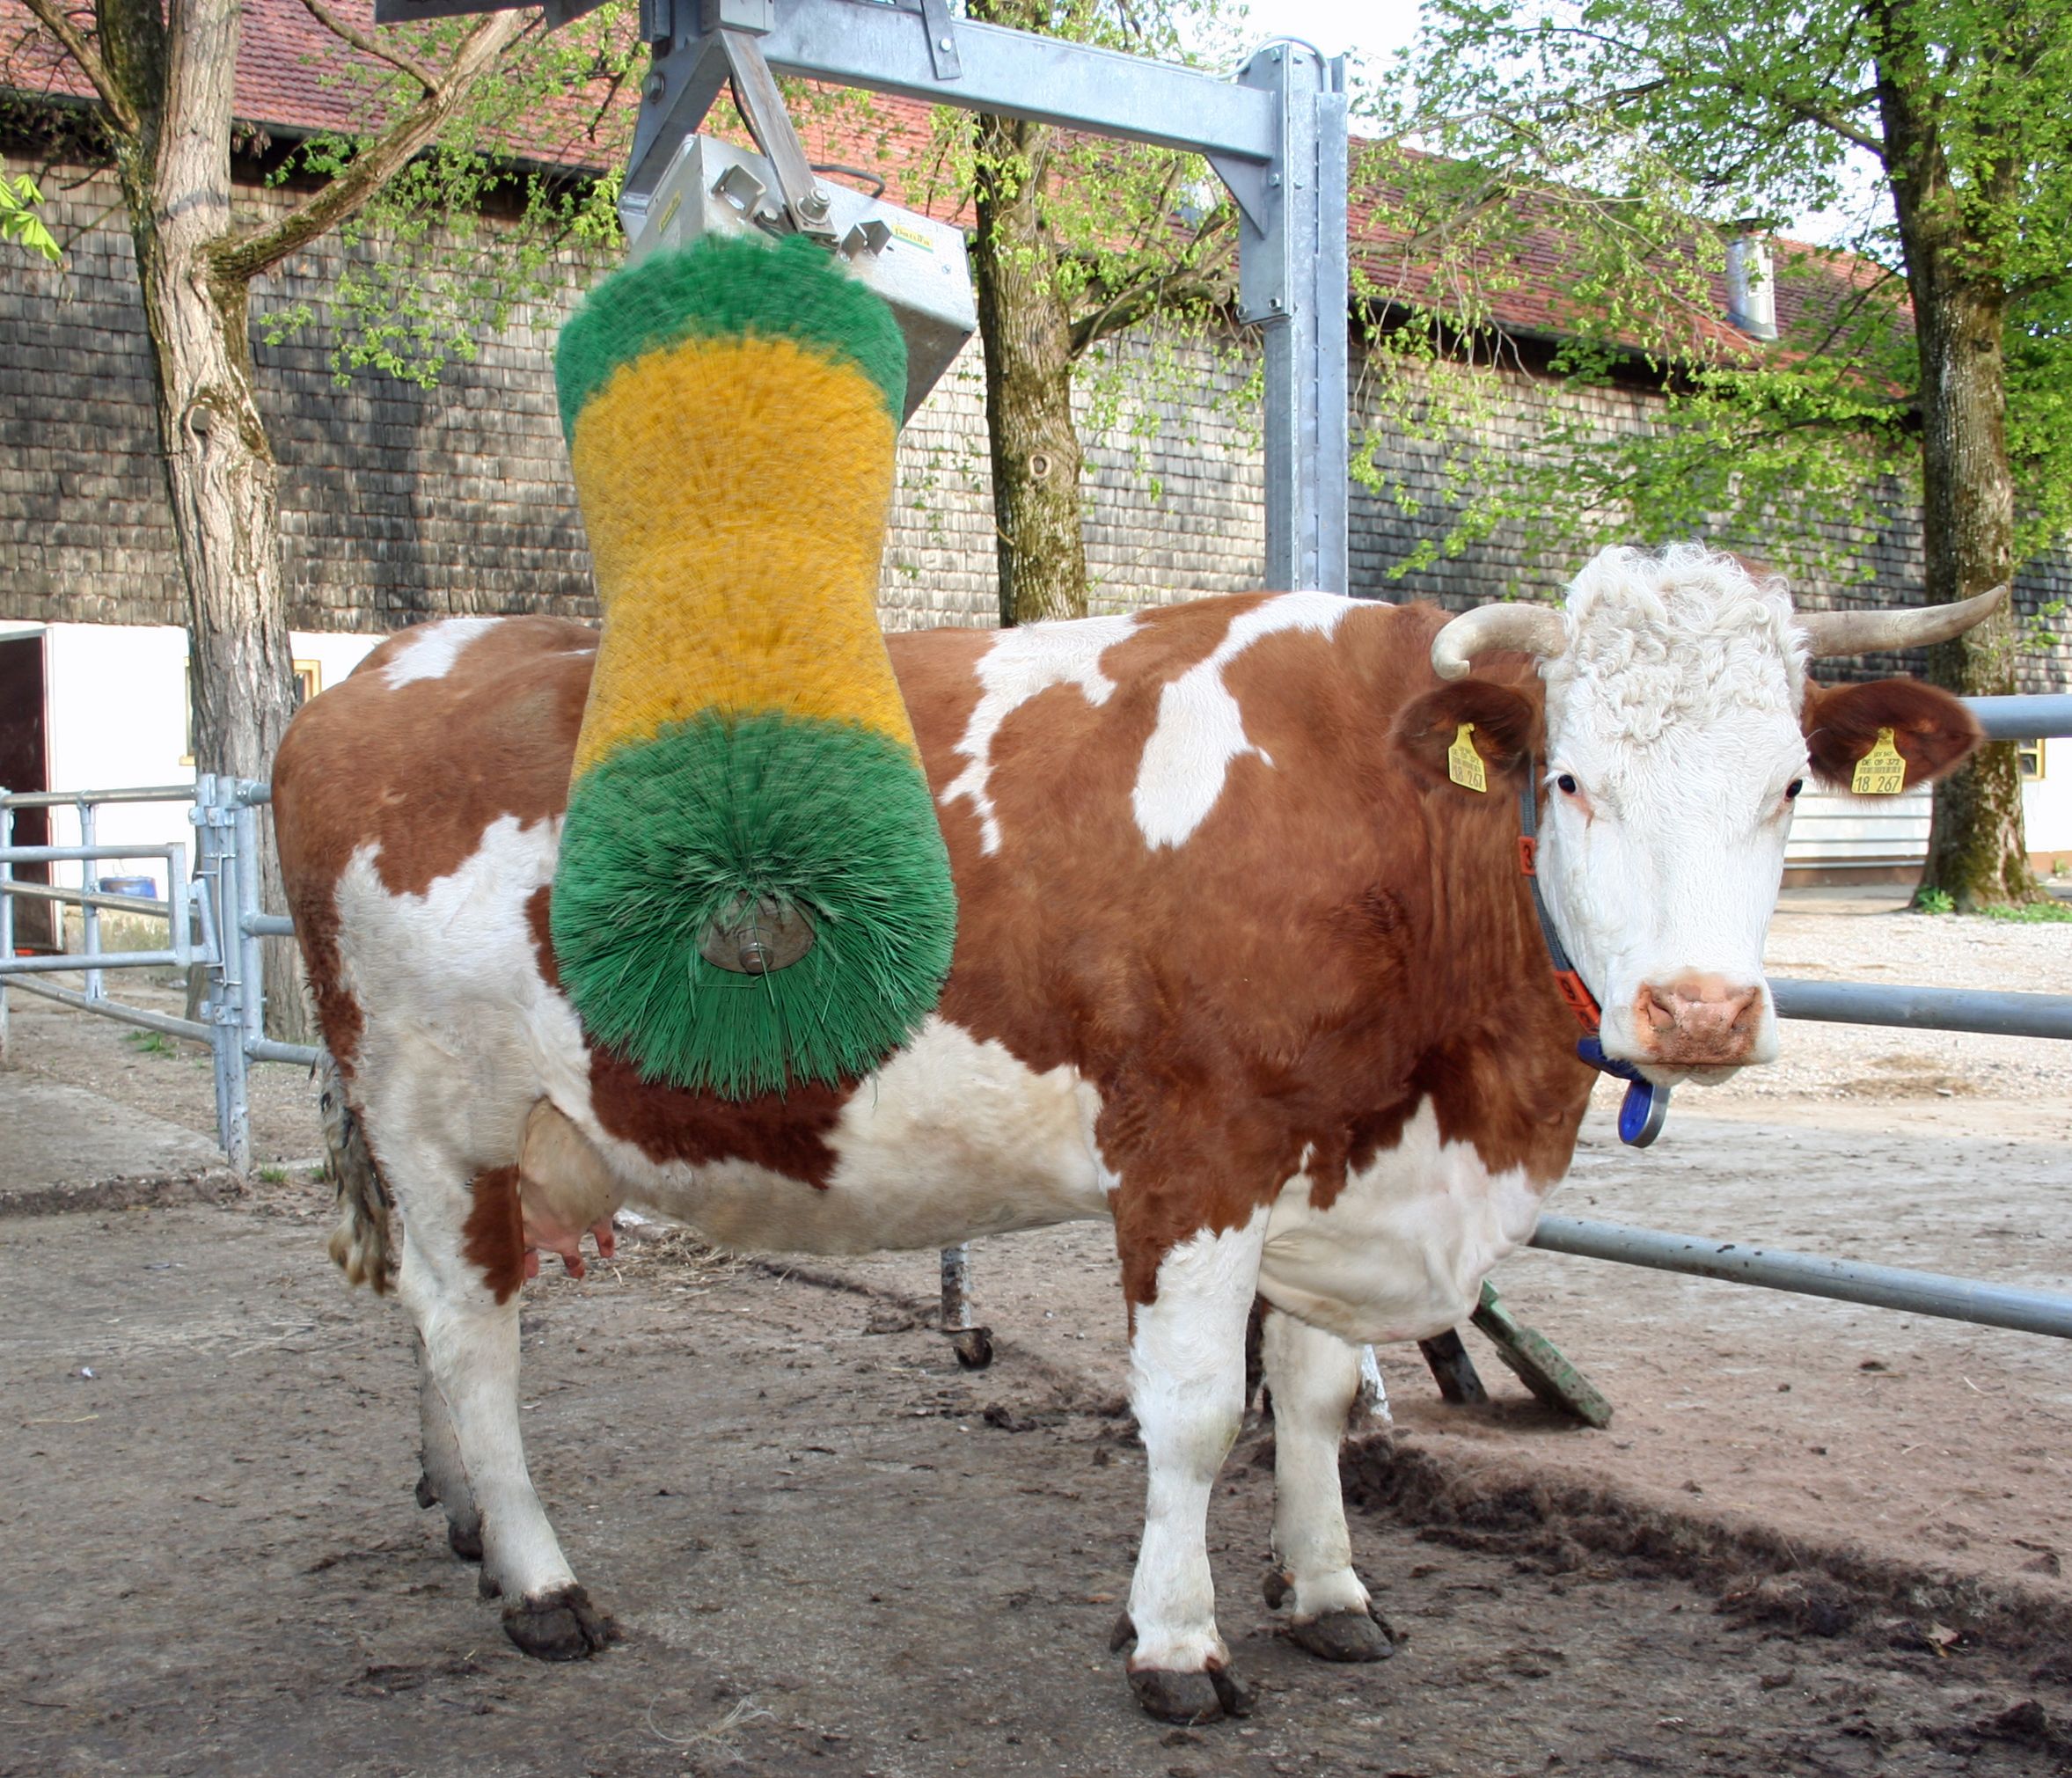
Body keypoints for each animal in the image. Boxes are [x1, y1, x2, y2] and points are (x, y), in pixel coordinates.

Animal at [271, 545, 1993, 1724]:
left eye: (1787, 786)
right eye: (1572, 779)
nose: (1698, 1011)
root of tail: (387, 665)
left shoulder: (1336, 1165)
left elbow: (1313, 1402)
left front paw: (1330, 1591)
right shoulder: (1193, 1152)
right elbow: (1191, 1415)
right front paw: (1176, 1641)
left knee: (433, 1319)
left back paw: (466, 1522)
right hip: (435, 1105)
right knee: (473, 1330)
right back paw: (540, 1580)